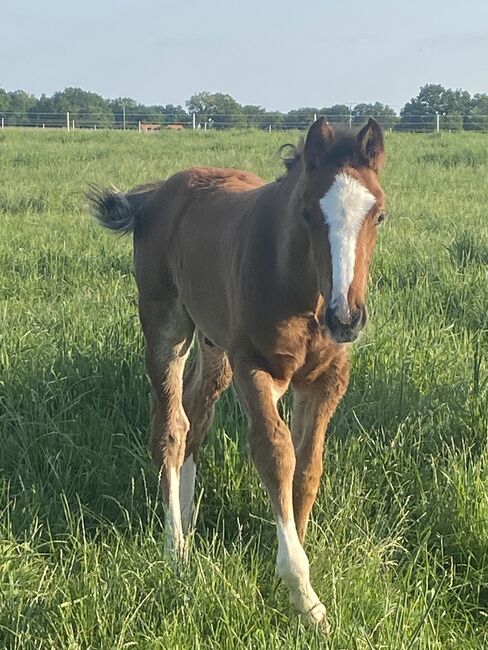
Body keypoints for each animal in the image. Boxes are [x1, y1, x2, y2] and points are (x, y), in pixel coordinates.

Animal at [87, 119, 386, 632]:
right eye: (308, 214)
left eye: (379, 215)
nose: (346, 318)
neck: (301, 291)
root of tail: (158, 192)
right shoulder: (255, 368)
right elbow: (276, 455)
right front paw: (304, 595)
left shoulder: (327, 379)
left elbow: (308, 466)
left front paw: (294, 565)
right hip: (167, 325)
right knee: (170, 428)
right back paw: (176, 550)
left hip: (215, 346)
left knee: (195, 416)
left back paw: (188, 518)